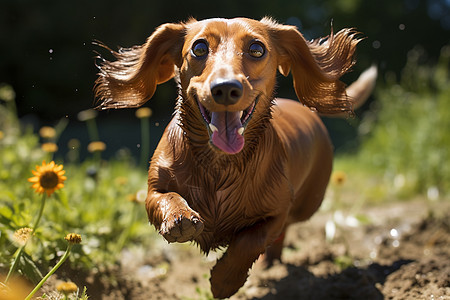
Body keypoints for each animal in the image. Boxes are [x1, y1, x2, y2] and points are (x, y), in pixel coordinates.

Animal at [94, 17, 376, 298]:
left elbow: (250, 241)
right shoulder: (154, 189)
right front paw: (179, 218)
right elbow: (166, 197)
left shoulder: (277, 211)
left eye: (257, 49)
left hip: (307, 205)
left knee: (283, 231)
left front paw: (225, 281)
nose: (226, 88)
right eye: (199, 48)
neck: (220, 163)